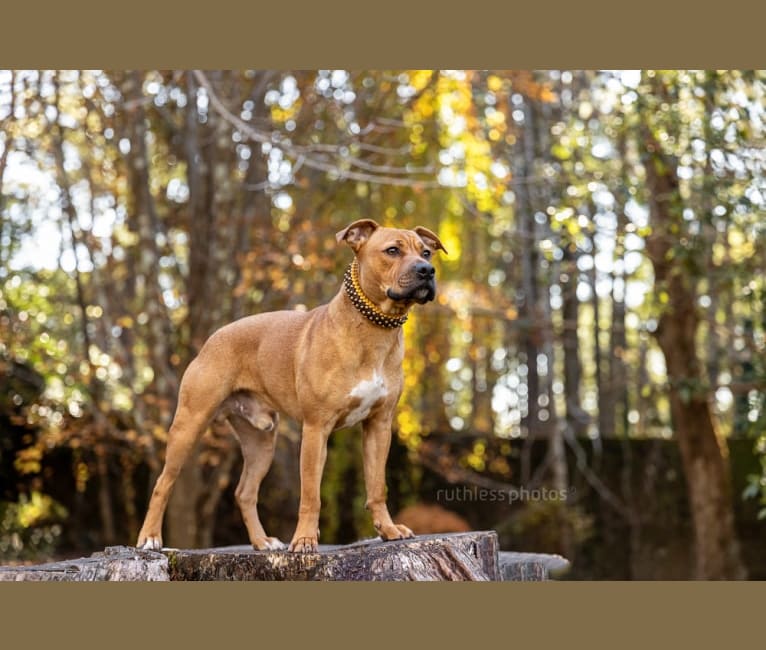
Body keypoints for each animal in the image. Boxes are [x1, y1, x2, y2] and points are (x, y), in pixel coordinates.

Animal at [137, 219, 448, 552]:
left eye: (426, 252)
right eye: (392, 250)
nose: (427, 270)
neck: (374, 328)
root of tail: (213, 338)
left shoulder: (379, 426)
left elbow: (377, 486)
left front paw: (388, 530)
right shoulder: (316, 429)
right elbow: (311, 494)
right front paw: (305, 540)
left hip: (261, 442)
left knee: (244, 492)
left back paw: (262, 541)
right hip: (189, 423)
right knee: (163, 482)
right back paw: (150, 537)